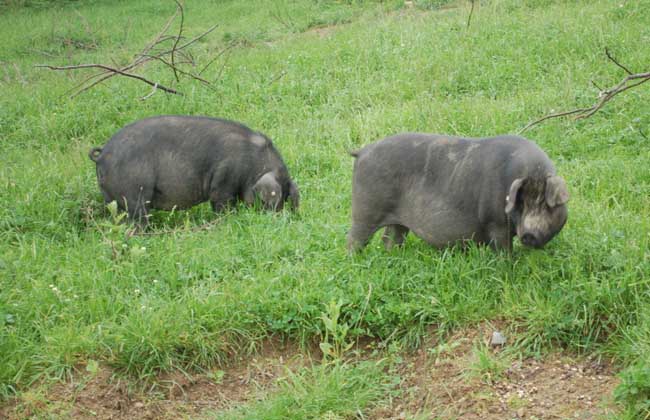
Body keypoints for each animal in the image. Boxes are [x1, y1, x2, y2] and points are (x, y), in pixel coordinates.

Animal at [88, 115, 298, 225]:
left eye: (285, 200)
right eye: (270, 202)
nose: (277, 219)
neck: (253, 166)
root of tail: (103, 154)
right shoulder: (222, 182)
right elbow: (222, 205)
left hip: (113, 200)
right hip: (135, 194)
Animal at [346, 135, 564, 251]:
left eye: (546, 204)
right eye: (521, 203)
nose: (528, 235)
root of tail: (363, 151)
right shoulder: (495, 223)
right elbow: (503, 248)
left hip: (396, 220)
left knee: (390, 237)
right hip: (365, 210)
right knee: (353, 239)